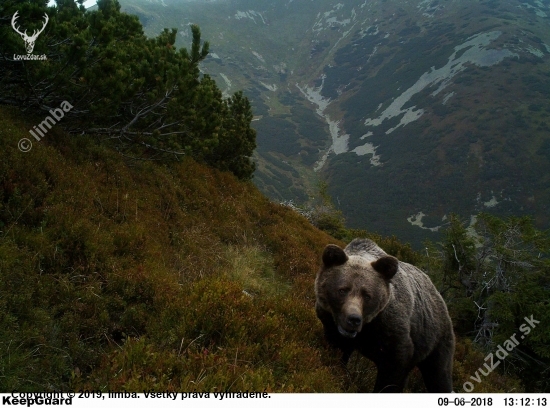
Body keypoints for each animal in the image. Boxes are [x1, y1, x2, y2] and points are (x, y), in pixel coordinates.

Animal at [316, 239, 454, 392]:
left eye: (367, 295)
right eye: (342, 290)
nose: (354, 319)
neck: (367, 327)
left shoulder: (390, 330)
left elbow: (392, 371)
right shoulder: (332, 324)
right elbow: (337, 351)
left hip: (436, 338)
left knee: (438, 375)